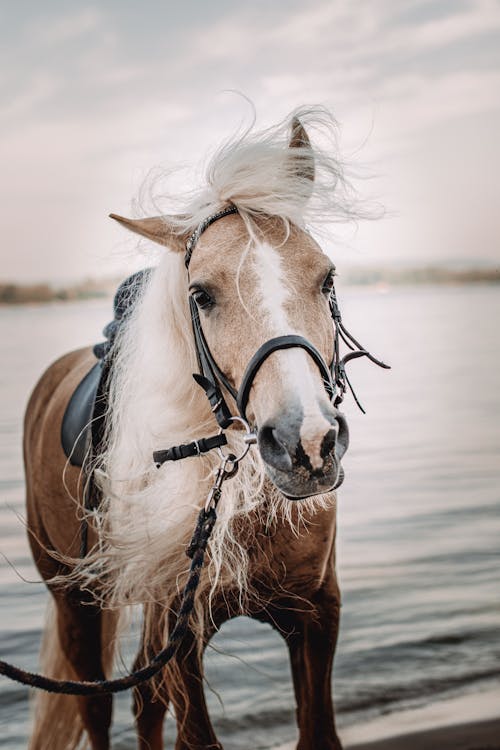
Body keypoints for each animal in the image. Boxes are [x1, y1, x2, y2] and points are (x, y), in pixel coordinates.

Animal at [24, 111, 364, 750]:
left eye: (327, 279)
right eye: (201, 295)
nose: (306, 443)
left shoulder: (317, 614)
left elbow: (318, 732)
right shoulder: (181, 639)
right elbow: (195, 736)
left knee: (142, 699)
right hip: (74, 600)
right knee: (97, 707)